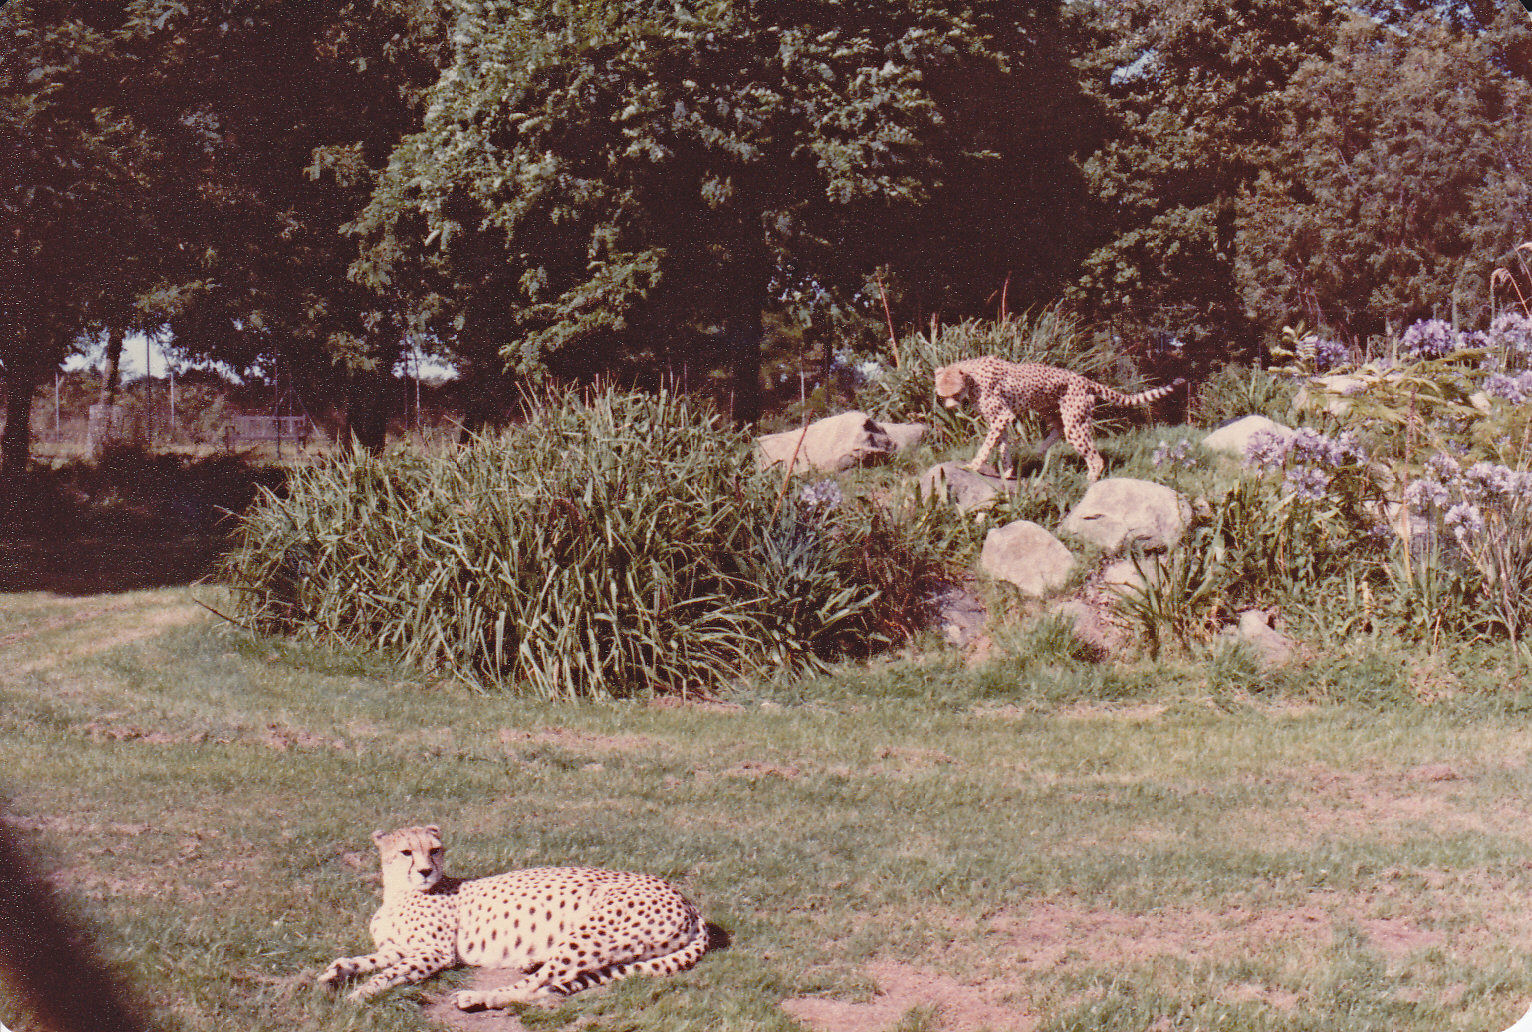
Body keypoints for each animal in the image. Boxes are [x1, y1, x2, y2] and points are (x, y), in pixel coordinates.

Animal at [319, 825, 708, 1010]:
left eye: (435, 850)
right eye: (405, 852)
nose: (426, 871)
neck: (400, 892)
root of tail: (686, 899)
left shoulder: (434, 953)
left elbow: (387, 974)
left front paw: (360, 994)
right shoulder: (397, 949)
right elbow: (363, 961)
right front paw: (334, 974)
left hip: (592, 933)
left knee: (544, 984)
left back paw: (483, 998)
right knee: (557, 979)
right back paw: (529, 962)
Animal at [934, 356, 1185, 481]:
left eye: (955, 393)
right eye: (942, 396)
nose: (950, 407)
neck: (970, 376)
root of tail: (1083, 379)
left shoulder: (1002, 416)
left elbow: (987, 445)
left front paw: (974, 465)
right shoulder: (1000, 419)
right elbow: (1002, 445)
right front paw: (1008, 472)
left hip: (1075, 420)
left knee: (1093, 456)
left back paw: (1090, 479)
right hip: (1050, 408)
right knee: (1058, 428)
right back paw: (1040, 449)